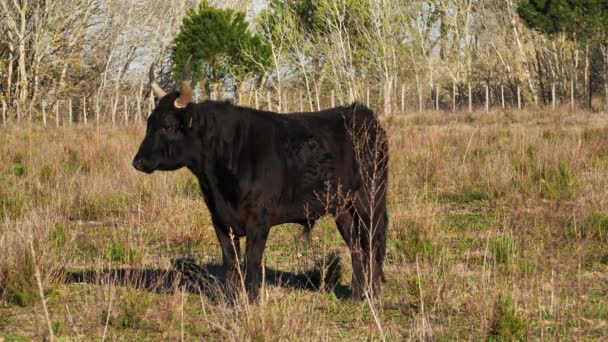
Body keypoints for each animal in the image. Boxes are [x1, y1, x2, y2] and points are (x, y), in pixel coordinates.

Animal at [133, 92, 390, 300]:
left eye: (166, 126)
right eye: (149, 123)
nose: (138, 162)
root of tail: (361, 112)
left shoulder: (258, 221)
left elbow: (252, 260)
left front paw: (252, 300)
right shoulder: (219, 219)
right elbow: (231, 261)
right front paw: (232, 300)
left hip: (369, 200)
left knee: (373, 242)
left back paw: (373, 295)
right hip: (343, 208)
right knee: (355, 246)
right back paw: (357, 295)